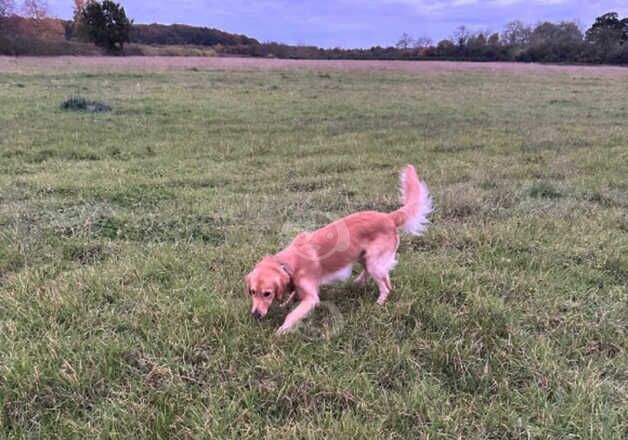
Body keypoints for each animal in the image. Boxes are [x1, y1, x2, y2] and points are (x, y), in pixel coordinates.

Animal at [245, 164, 432, 334]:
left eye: (267, 293)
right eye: (252, 292)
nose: (256, 315)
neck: (287, 263)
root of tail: (388, 217)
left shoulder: (312, 298)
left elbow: (293, 314)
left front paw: (282, 330)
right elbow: (292, 297)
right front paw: (286, 302)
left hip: (374, 261)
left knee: (385, 286)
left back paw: (379, 302)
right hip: (365, 257)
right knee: (382, 277)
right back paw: (357, 284)